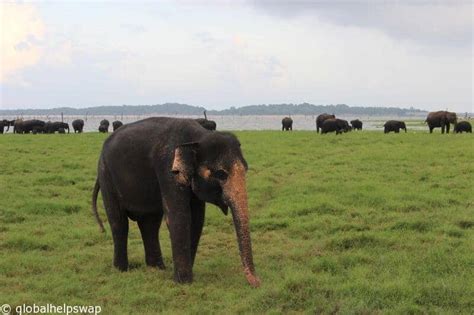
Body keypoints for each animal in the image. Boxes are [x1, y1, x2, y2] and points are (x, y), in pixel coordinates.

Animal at [90, 117, 262, 288]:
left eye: (246, 169)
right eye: (221, 174)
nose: (258, 283)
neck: (198, 136)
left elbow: (197, 220)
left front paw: (184, 276)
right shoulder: (168, 169)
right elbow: (179, 217)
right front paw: (184, 282)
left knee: (150, 223)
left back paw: (157, 268)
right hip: (106, 176)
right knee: (118, 222)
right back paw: (121, 269)